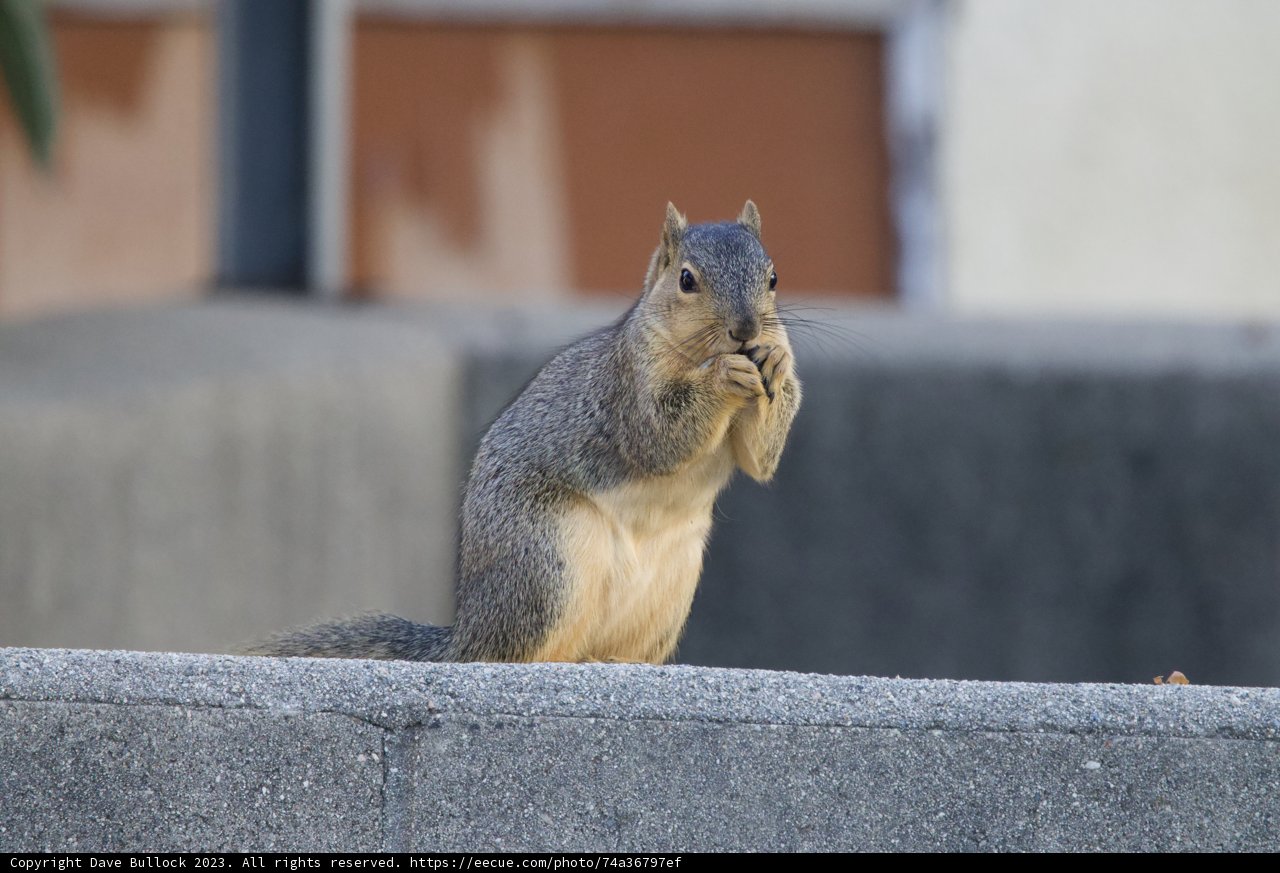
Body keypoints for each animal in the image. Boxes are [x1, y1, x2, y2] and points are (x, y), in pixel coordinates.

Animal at [247, 201, 801, 664]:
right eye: (687, 280)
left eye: (773, 277)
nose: (747, 330)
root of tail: (467, 633)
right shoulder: (625, 388)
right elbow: (658, 436)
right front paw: (723, 376)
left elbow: (759, 459)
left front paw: (774, 361)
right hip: (547, 563)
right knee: (516, 653)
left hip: (667, 596)